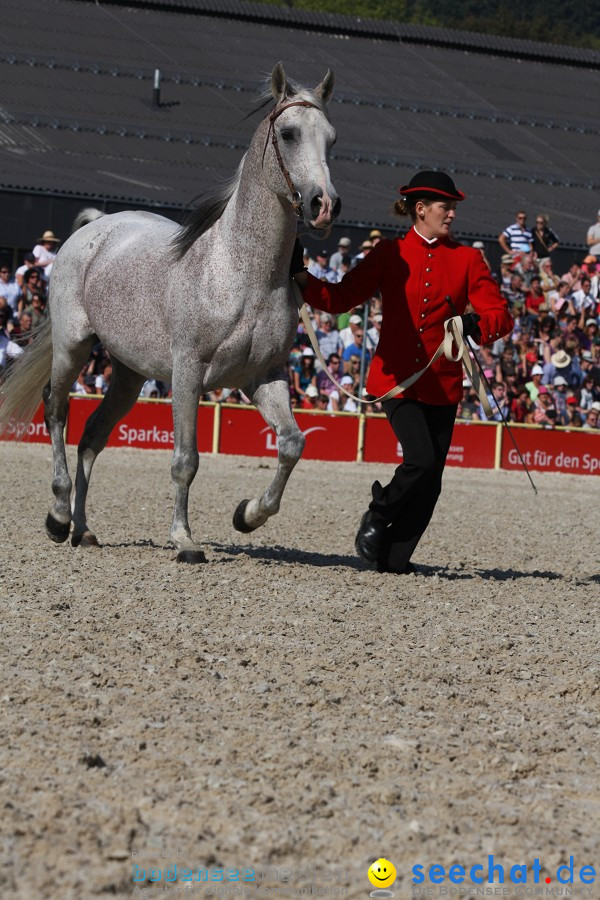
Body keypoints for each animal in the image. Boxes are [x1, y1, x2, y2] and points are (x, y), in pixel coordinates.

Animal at [0, 63, 340, 560]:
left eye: (331, 138)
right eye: (289, 133)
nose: (324, 204)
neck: (241, 272)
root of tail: (93, 229)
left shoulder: (265, 376)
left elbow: (292, 444)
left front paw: (247, 515)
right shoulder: (188, 373)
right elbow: (186, 459)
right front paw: (184, 538)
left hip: (128, 374)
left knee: (92, 436)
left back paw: (83, 528)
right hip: (73, 346)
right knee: (57, 410)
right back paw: (59, 516)